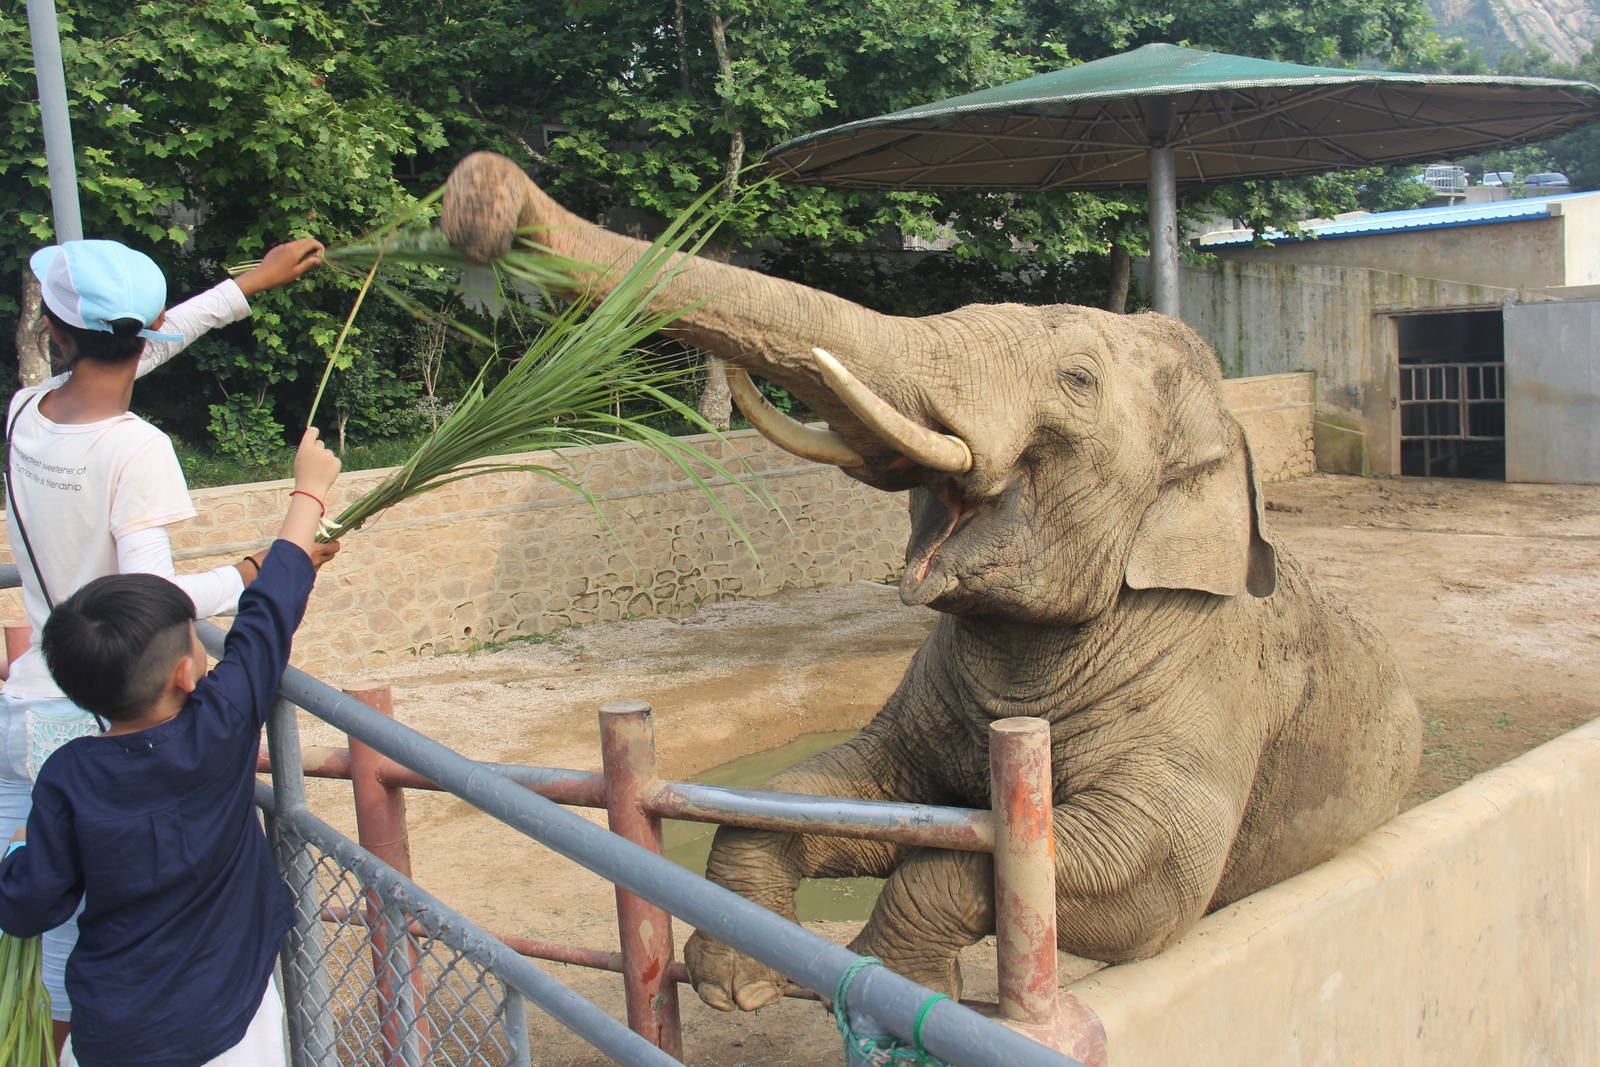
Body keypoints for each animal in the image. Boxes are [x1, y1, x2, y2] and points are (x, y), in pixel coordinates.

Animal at [440, 151, 1422, 1010]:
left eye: (1076, 378)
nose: (481, 192)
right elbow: (853, 793)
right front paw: (737, 981)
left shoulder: (1214, 686)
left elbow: (1147, 878)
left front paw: (890, 987)